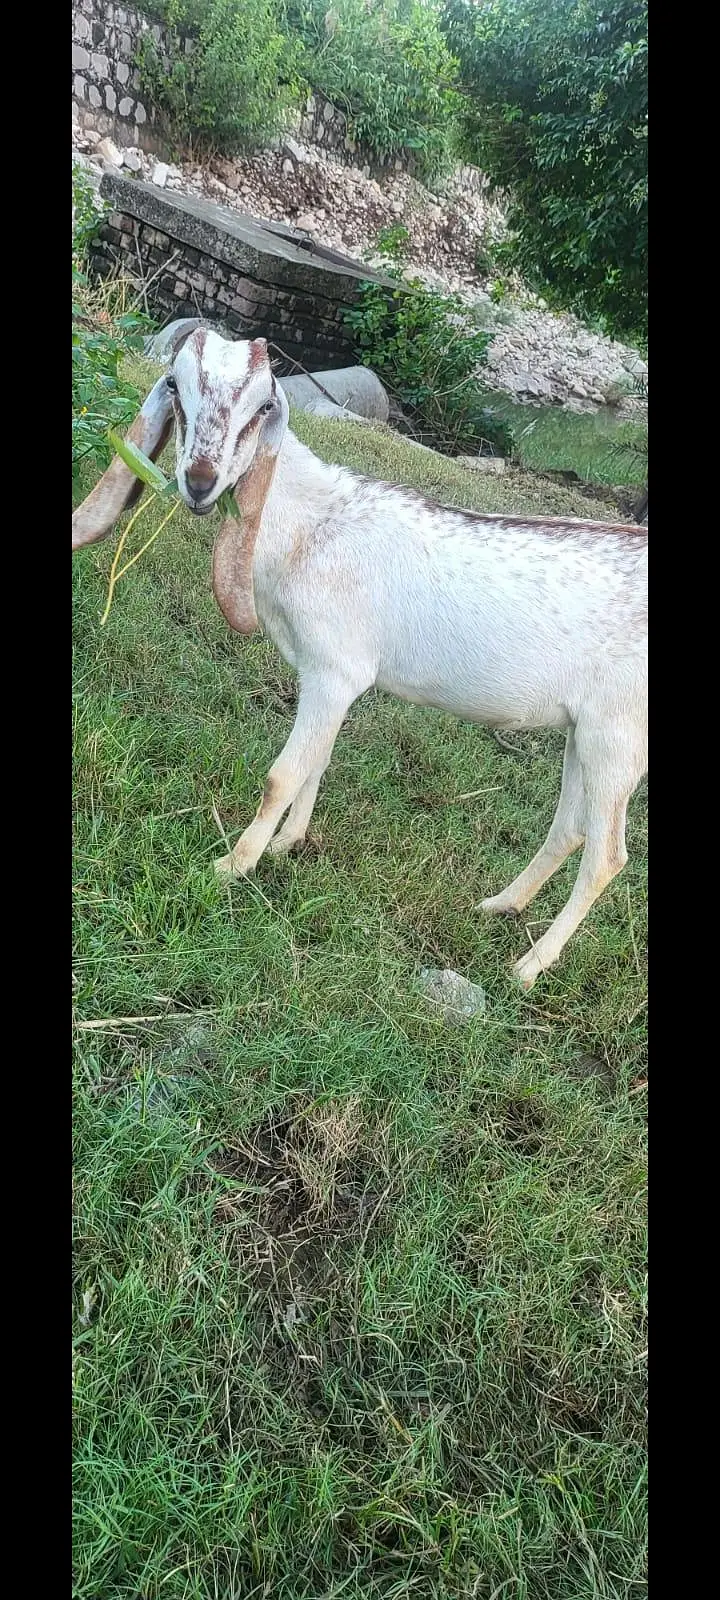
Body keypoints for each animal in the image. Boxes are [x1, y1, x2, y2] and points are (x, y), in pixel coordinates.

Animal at [72, 328, 648, 988]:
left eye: (263, 405)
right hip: (585, 731)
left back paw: (527, 968)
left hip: (618, 734)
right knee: (571, 830)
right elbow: (316, 761)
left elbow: (283, 773)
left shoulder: (335, 668)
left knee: (607, 855)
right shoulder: (327, 677)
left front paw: (233, 865)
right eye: (175, 384)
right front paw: (286, 845)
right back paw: (499, 905)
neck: (311, 525)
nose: (199, 481)